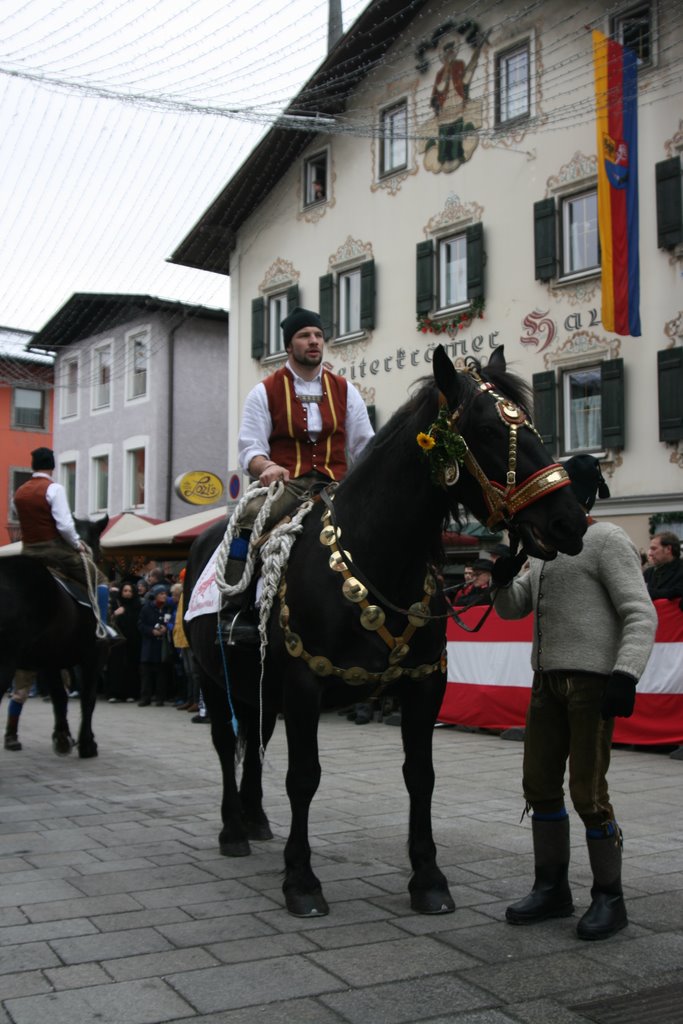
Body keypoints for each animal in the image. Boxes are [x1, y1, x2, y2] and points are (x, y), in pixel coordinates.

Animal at [187, 346, 589, 921]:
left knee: (255, 740)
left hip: (259, 685)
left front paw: (428, 878)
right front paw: (301, 880)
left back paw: (256, 818)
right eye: (490, 430)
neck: (373, 556)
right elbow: (303, 777)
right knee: (226, 743)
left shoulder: (423, 685)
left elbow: (421, 776)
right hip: (212, 680)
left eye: (530, 423)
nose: (569, 522)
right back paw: (233, 829)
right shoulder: (304, 685)